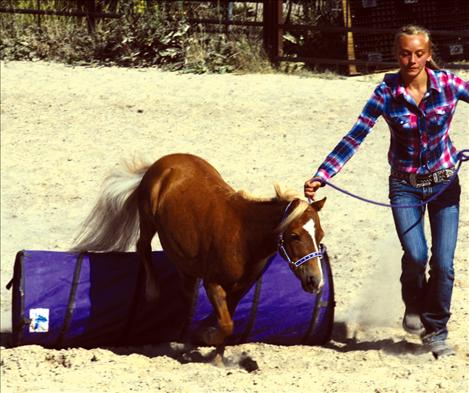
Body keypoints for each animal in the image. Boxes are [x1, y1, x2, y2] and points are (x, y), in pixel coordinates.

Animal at [72, 153, 326, 362]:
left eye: (321, 235)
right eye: (294, 236)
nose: (316, 281)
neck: (244, 234)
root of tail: (162, 162)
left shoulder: (240, 288)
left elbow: (228, 322)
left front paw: (216, 357)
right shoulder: (213, 283)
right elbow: (225, 324)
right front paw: (207, 336)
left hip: (185, 262)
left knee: (186, 293)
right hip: (148, 218)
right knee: (142, 246)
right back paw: (153, 291)